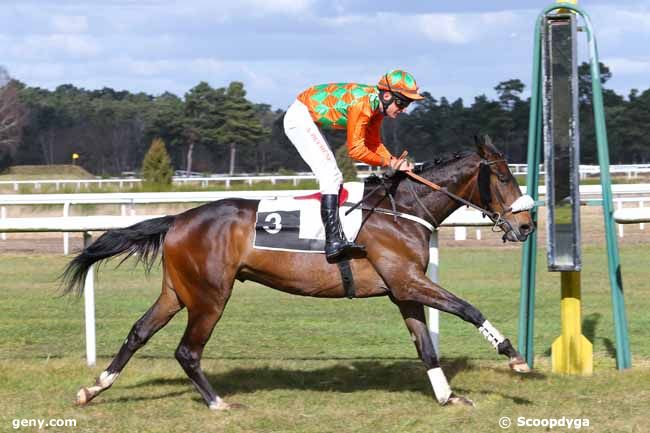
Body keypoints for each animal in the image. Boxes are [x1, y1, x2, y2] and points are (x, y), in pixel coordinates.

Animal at [64, 138, 532, 408]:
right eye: (503, 176)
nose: (526, 225)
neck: (401, 209)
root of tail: (178, 218)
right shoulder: (408, 280)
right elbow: (467, 308)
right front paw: (514, 356)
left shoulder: (404, 290)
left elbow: (426, 347)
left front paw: (448, 396)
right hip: (210, 296)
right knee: (187, 351)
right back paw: (218, 403)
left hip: (177, 291)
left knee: (138, 333)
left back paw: (94, 388)